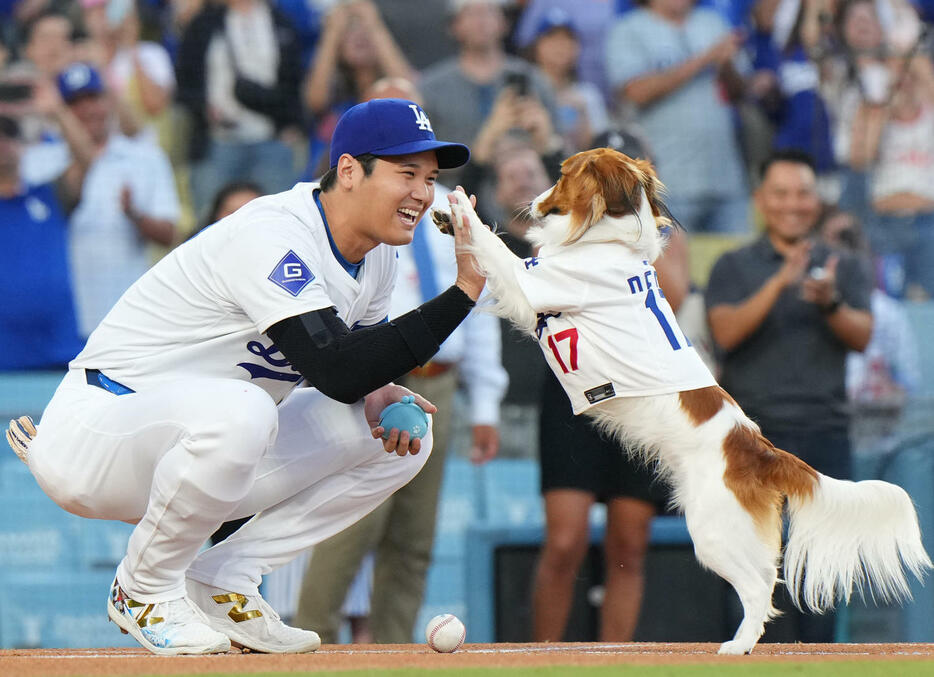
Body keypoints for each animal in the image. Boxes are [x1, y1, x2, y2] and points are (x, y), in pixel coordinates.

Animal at [440, 149, 934, 656]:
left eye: (561, 175)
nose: (533, 201)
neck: (608, 239)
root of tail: (759, 450)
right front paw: (444, 218)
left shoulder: (532, 285)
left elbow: (496, 250)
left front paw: (458, 207)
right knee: (764, 580)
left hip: (711, 531)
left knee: (758, 587)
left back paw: (737, 646)